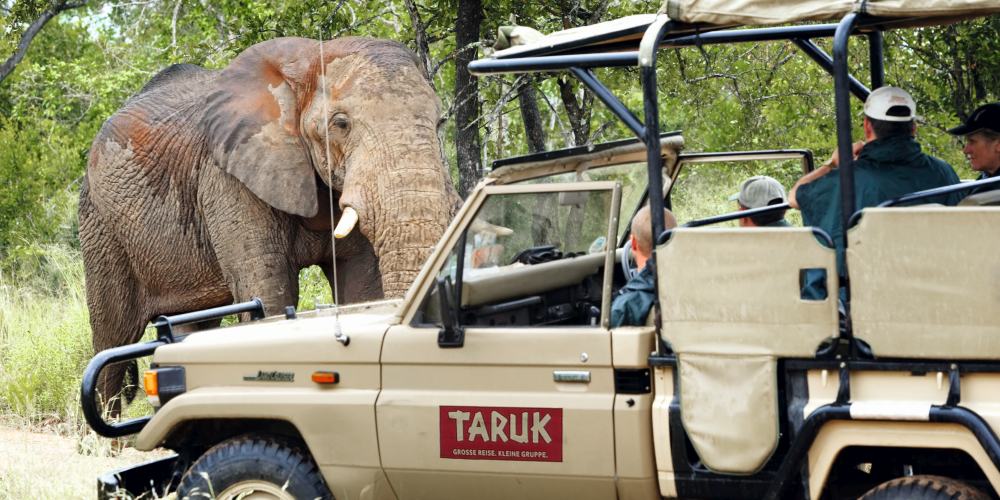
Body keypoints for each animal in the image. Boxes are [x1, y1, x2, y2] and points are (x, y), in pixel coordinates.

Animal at [80, 38, 458, 406]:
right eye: (341, 124)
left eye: (440, 122)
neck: (307, 65)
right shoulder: (227, 176)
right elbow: (269, 292)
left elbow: (361, 286)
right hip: (100, 226)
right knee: (113, 340)